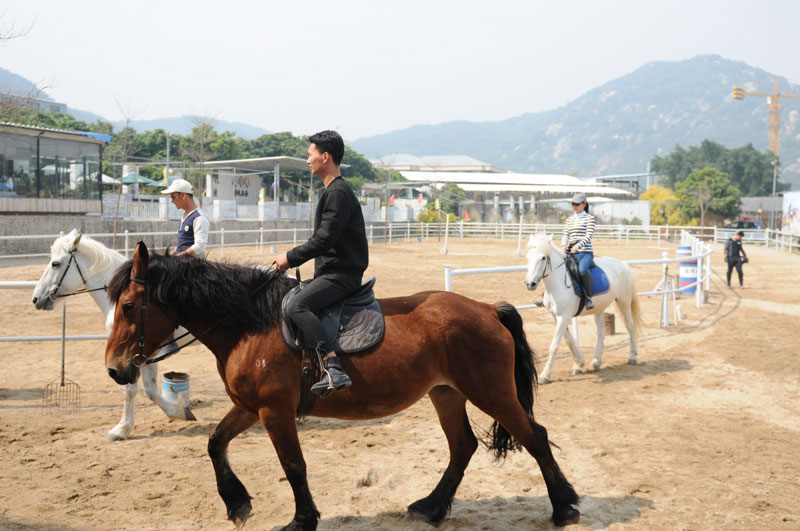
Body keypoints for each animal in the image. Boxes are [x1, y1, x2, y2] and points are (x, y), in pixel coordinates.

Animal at [32, 229, 195, 440]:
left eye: (55, 264)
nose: (36, 298)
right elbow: (150, 390)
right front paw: (180, 411)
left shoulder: (133, 352)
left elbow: (131, 389)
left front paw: (122, 429)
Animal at [108, 243, 580, 528]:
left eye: (129, 305)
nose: (115, 370)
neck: (250, 325)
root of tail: (485, 308)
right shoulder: (250, 407)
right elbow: (215, 442)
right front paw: (237, 502)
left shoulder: (275, 411)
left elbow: (293, 466)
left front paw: (302, 520)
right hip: (447, 393)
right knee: (462, 446)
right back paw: (431, 507)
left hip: (491, 393)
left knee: (535, 437)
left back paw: (564, 507)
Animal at [524, 235, 644, 384]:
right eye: (528, 257)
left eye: (543, 258)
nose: (530, 284)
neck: (557, 283)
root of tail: (622, 264)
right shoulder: (556, 316)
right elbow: (569, 340)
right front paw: (579, 364)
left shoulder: (564, 316)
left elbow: (555, 345)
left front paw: (544, 375)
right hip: (600, 307)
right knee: (601, 331)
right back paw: (596, 362)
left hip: (624, 301)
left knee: (629, 325)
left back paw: (632, 357)